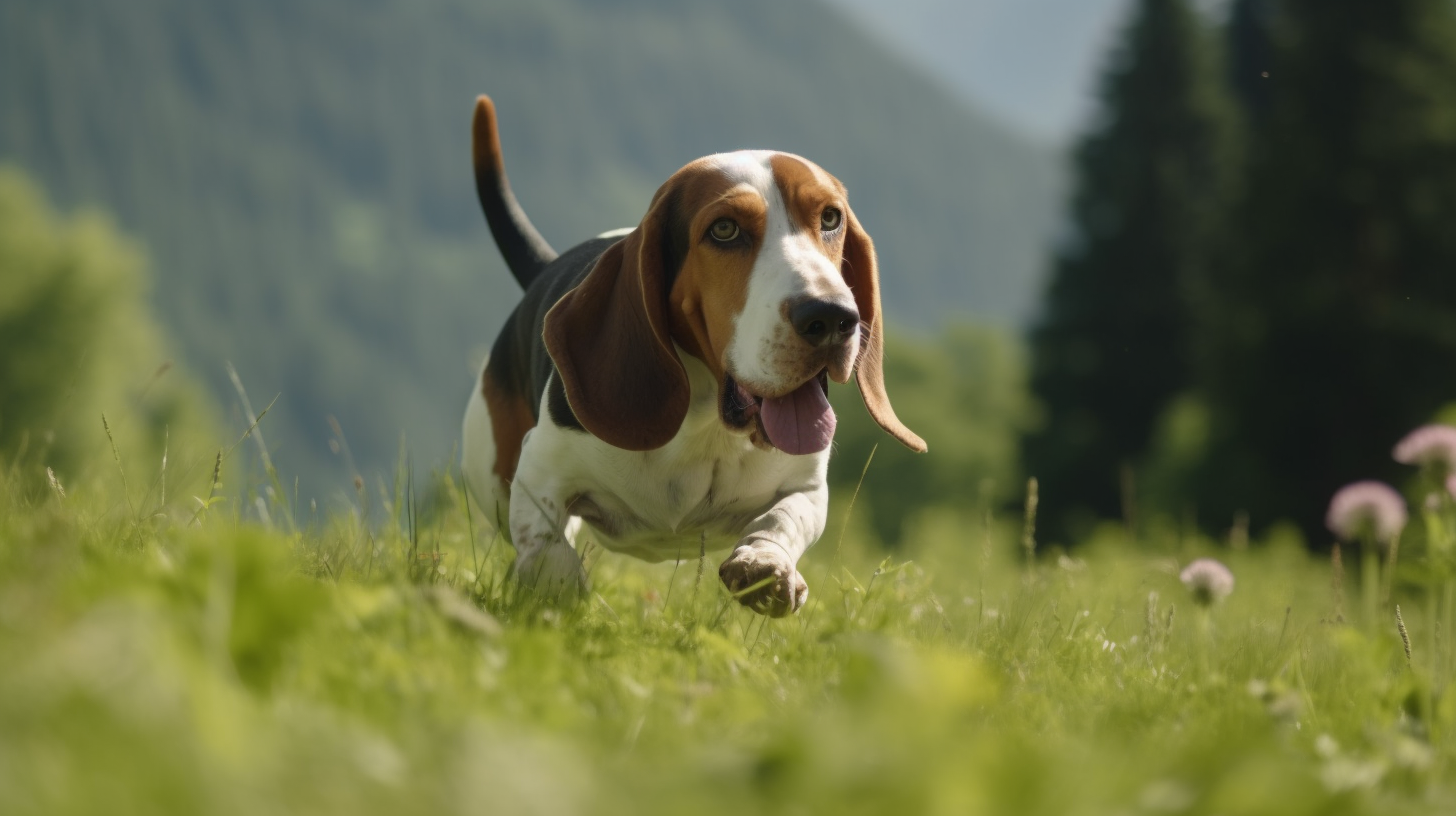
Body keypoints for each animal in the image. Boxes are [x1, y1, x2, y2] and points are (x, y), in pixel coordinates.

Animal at [460, 95, 926, 614]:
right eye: (724, 229)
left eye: (830, 218)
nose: (831, 316)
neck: (709, 422)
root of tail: (547, 265)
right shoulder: (539, 472)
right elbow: (546, 546)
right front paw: (559, 595)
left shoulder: (807, 485)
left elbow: (783, 518)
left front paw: (766, 565)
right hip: (491, 479)